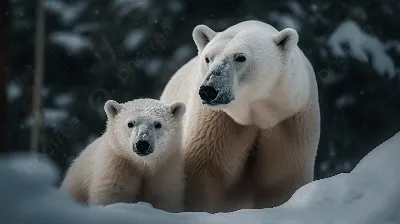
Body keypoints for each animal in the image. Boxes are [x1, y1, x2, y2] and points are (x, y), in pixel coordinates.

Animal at [59, 98, 188, 212]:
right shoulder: (118, 163)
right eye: (130, 124)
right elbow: (114, 193)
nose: (142, 144)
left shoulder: (164, 168)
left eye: (158, 124)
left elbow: (163, 196)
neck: (142, 163)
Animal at [161, 20, 320, 213]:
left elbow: (282, 177)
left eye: (240, 57)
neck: (256, 112)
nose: (208, 90)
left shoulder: (288, 119)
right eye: (208, 58)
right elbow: (205, 169)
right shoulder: (219, 121)